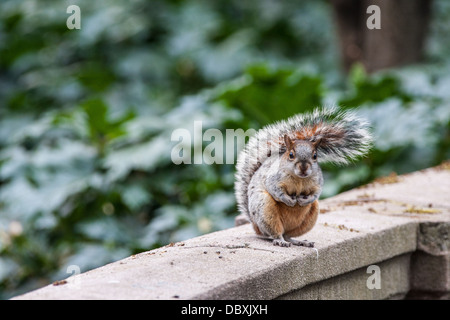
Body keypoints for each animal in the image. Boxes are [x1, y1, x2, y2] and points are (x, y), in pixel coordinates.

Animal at [234, 107, 370, 248]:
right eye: (291, 155)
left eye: (315, 156)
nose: (303, 168)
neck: (300, 179)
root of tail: (255, 226)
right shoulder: (273, 179)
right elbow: (276, 190)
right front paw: (289, 200)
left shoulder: (317, 183)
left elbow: (315, 194)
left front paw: (303, 200)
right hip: (265, 210)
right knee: (276, 232)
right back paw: (280, 240)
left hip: (310, 216)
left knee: (288, 235)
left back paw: (300, 241)